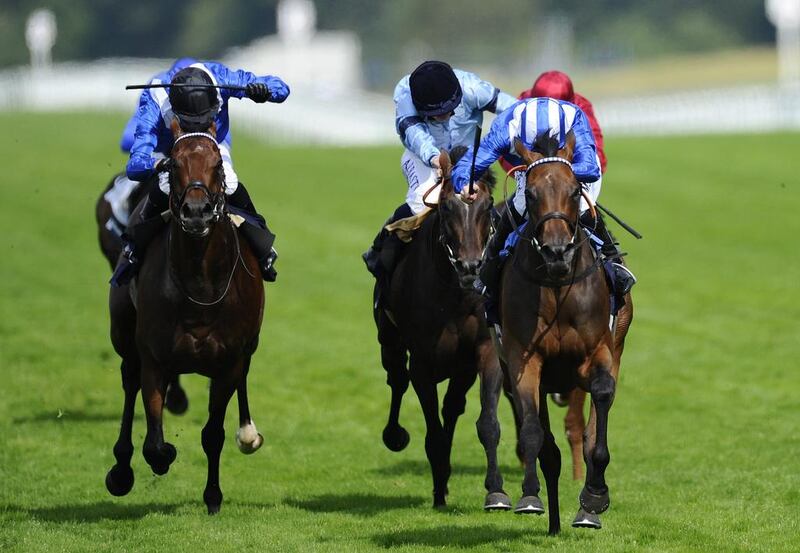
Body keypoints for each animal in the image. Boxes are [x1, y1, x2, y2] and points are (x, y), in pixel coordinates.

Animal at [101, 122, 266, 512]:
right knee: (129, 383)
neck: (200, 286)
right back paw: (121, 471)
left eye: (218, 165)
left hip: (249, 345)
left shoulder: (228, 363)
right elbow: (155, 443)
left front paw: (213, 497)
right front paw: (160, 458)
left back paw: (247, 433)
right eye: (173, 165)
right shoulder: (154, 359)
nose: (196, 212)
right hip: (124, 335)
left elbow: (213, 433)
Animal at [374, 146, 510, 508]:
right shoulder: (423, 361)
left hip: (462, 368)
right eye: (447, 206)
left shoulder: (485, 351)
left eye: (488, 206)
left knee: (452, 407)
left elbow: (487, 422)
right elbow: (432, 431)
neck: (455, 295)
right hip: (389, 339)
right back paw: (395, 436)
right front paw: (438, 494)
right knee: (397, 379)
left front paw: (496, 490)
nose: (470, 266)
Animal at [496, 132, 636, 532]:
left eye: (575, 191)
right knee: (546, 444)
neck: (557, 286)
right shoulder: (523, 358)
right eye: (530, 194)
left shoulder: (596, 353)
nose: (557, 251)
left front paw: (594, 496)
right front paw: (529, 496)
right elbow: (533, 432)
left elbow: (596, 419)